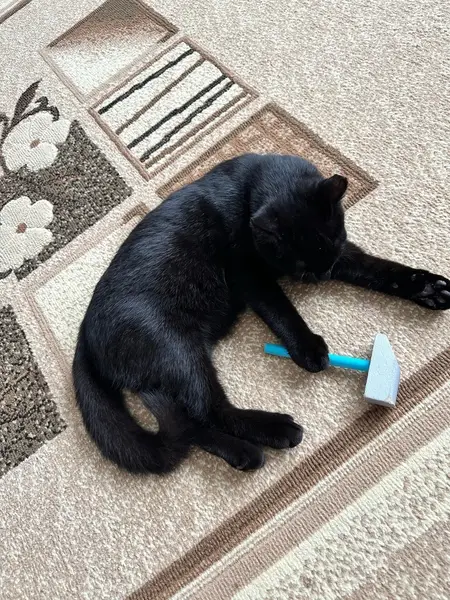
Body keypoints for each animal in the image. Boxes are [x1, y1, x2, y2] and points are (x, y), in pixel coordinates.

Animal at [72, 153, 450, 473]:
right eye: (300, 264)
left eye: (333, 242)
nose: (323, 274)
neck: (246, 189)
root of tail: (84, 337)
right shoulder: (249, 274)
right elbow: (281, 308)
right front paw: (308, 348)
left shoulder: (343, 255)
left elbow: (380, 269)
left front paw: (428, 288)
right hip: (179, 351)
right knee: (210, 411)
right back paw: (274, 431)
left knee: (192, 423)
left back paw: (243, 453)